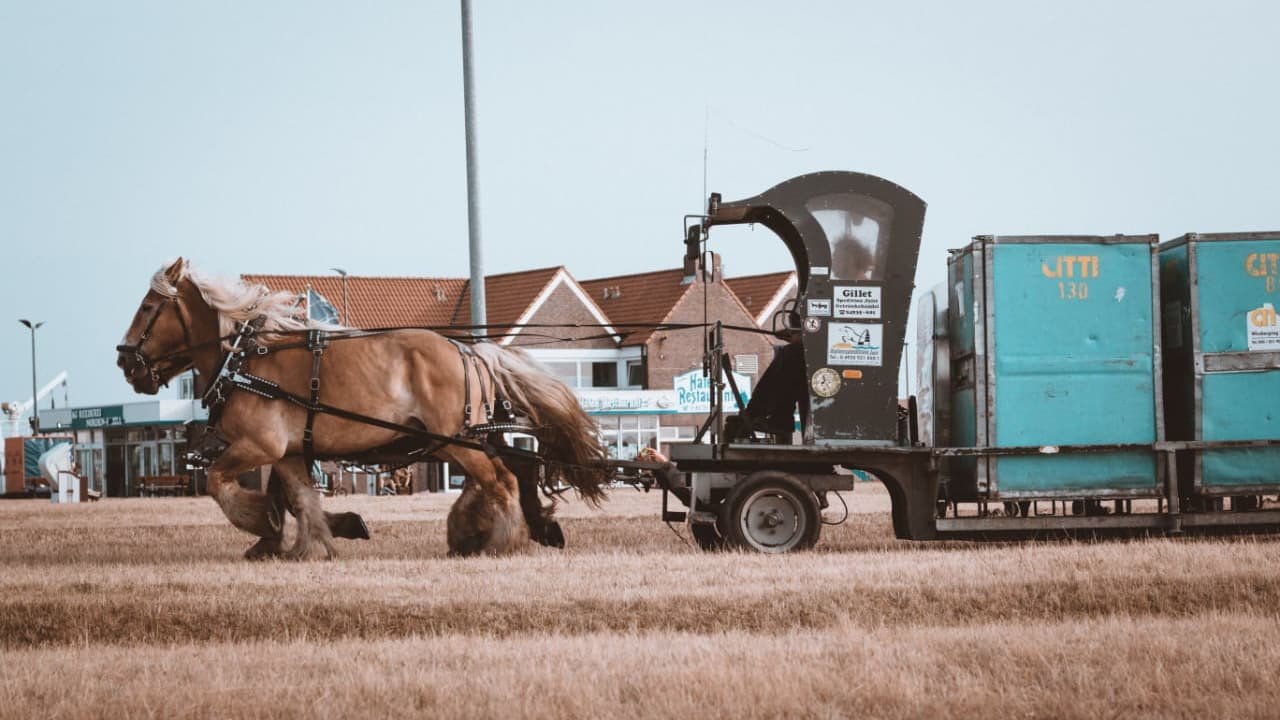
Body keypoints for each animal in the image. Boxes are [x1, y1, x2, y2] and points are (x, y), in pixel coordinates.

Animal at [116, 259, 606, 559]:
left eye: (147, 307)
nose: (125, 361)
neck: (245, 358)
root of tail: (469, 350)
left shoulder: (260, 445)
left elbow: (219, 482)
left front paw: (261, 521)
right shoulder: (289, 452)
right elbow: (302, 499)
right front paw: (311, 543)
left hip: (456, 440)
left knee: (502, 479)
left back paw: (501, 540)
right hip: (457, 439)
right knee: (506, 474)